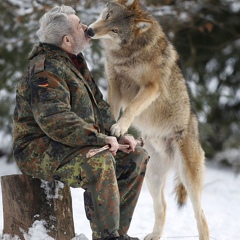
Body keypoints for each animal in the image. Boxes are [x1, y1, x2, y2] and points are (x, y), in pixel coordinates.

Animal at [87, 0, 209, 239]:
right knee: (162, 207)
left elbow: (131, 108)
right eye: (107, 16)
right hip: (152, 177)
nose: (89, 31)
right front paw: (110, 131)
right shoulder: (114, 84)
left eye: (115, 30)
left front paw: (120, 127)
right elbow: (111, 108)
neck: (128, 53)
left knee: (201, 217)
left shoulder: (151, 87)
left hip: (188, 179)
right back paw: (154, 235)